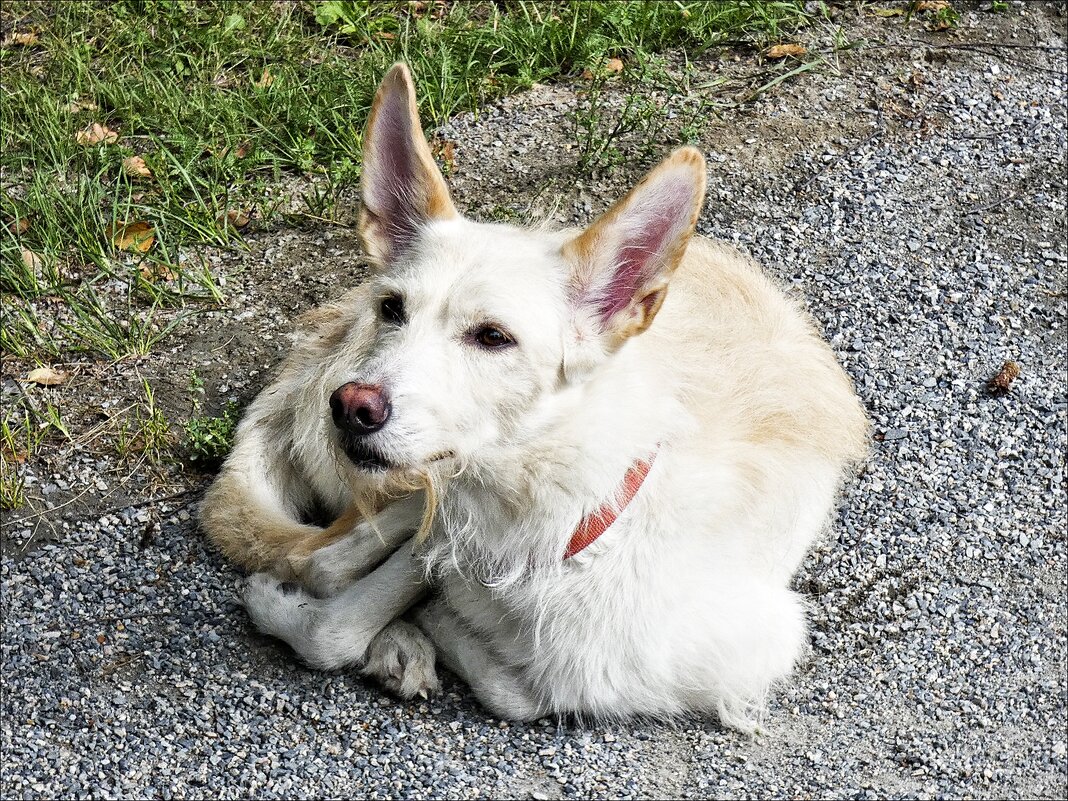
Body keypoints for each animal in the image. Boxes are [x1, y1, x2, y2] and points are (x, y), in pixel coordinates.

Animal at [200, 64, 867, 734]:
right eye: (392, 307)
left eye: (494, 337)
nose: (352, 407)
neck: (572, 518)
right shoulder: (446, 521)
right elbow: (337, 621)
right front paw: (371, 618)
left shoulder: (747, 647)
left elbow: (523, 688)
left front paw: (435, 623)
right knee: (329, 558)